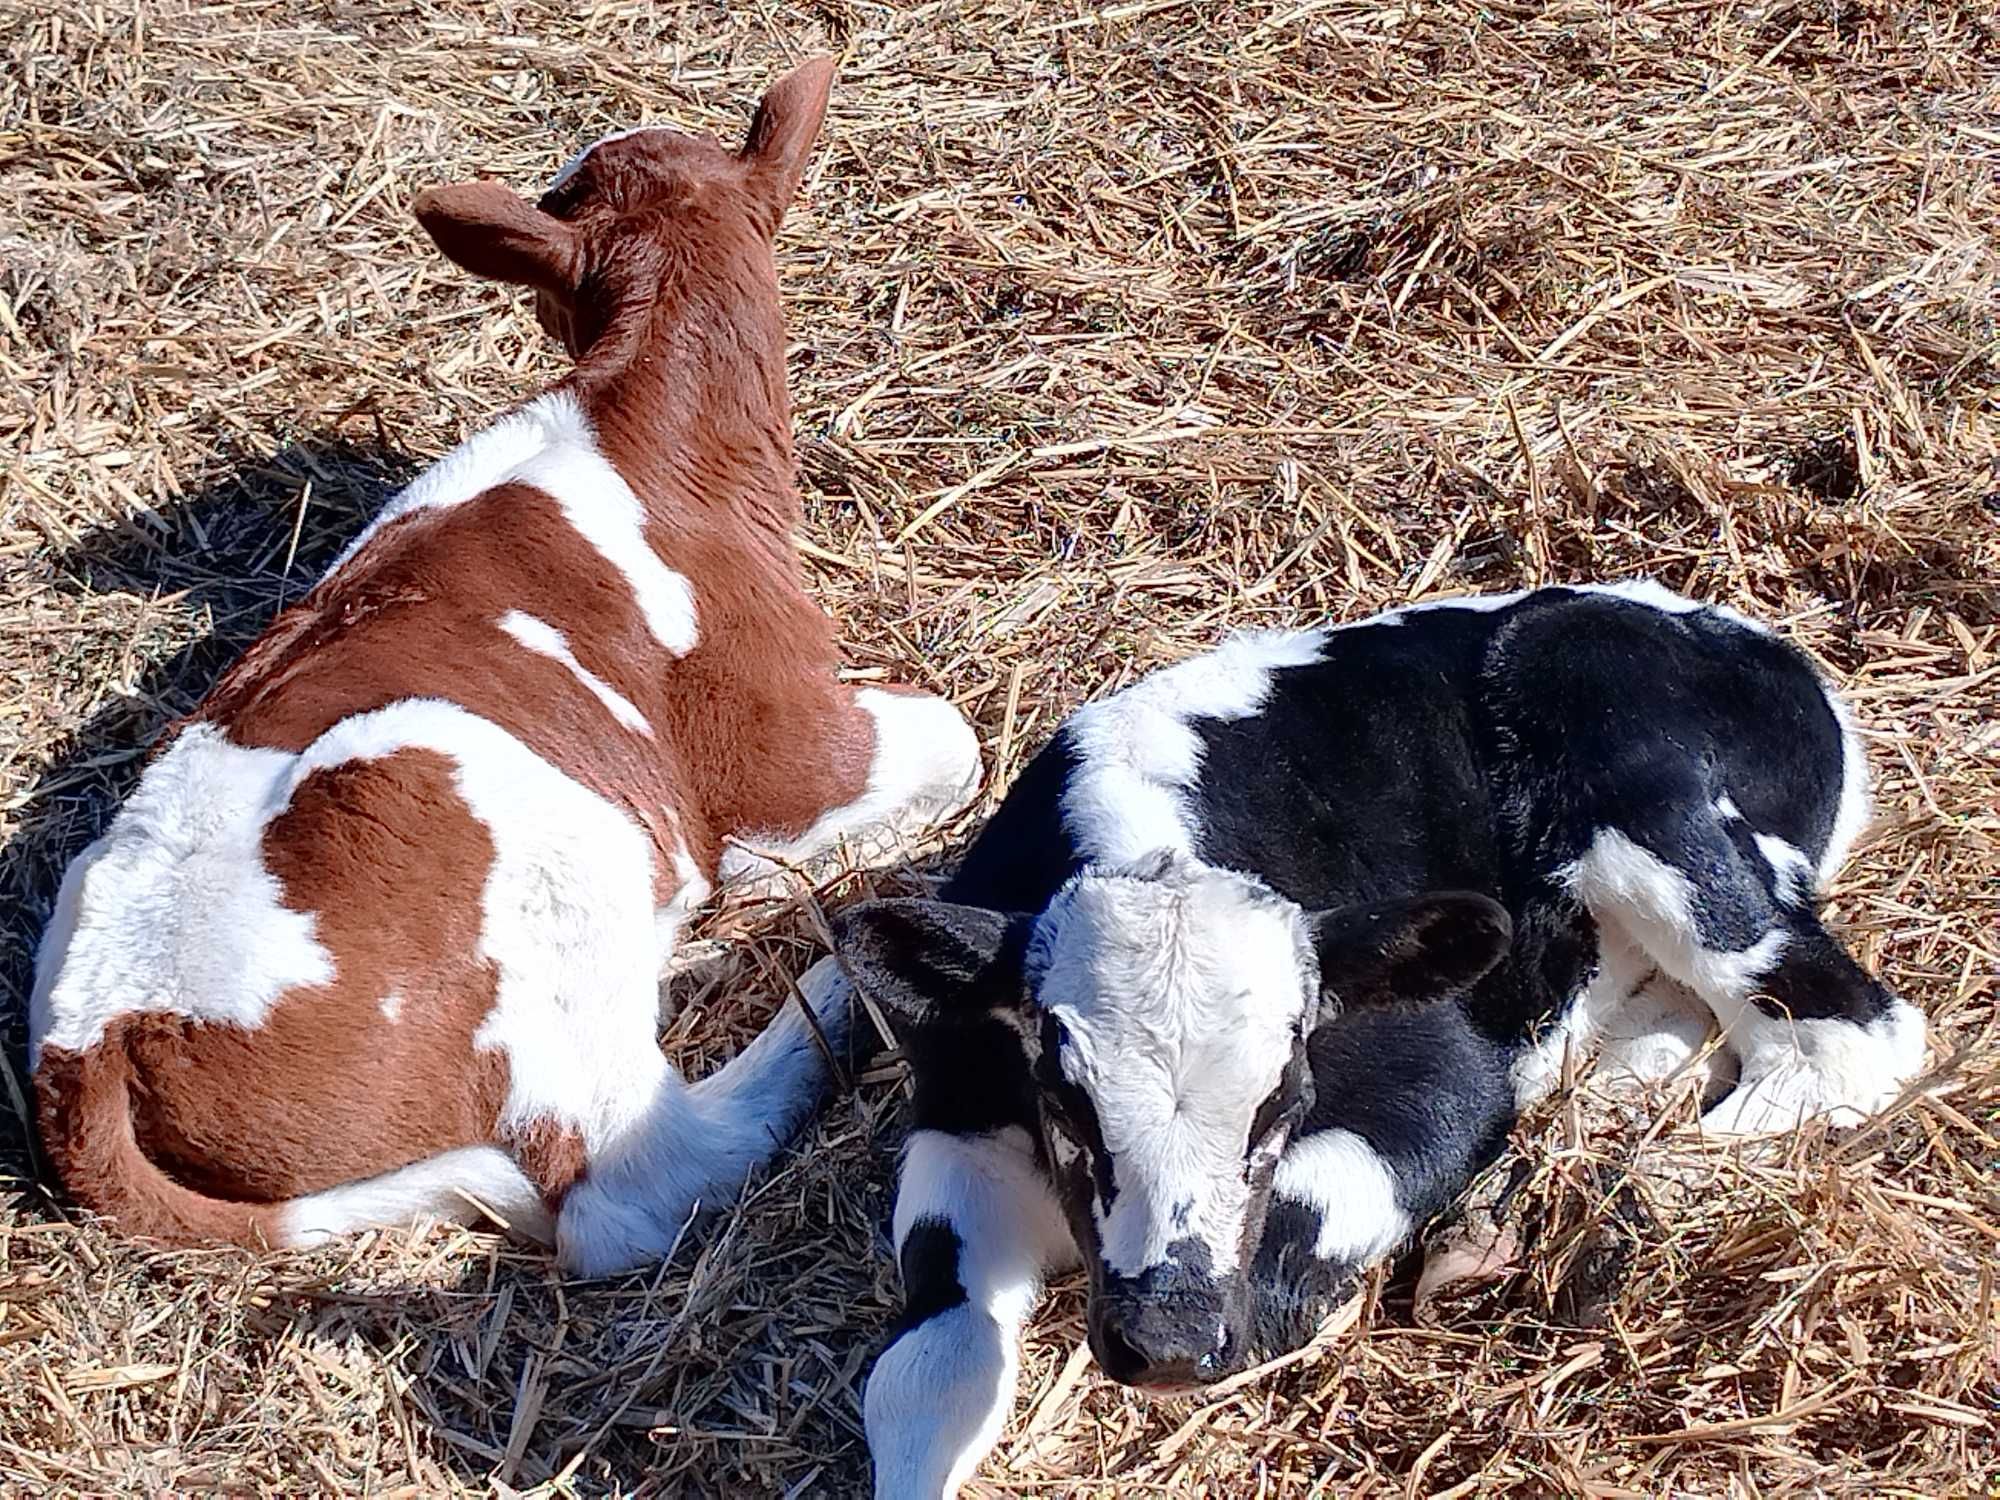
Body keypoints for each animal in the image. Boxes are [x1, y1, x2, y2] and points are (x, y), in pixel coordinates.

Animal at [31, 61, 984, 1280]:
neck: (652, 433)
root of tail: (98, 1045)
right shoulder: (779, 746)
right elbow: (949, 740)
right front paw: (775, 881)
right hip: (528, 838)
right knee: (634, 1178)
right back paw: (837, 993)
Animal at [828, 580, 1920, 1496]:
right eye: (1064, 1099)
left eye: (1283, 1096)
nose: (1169, 1342)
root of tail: (1755, 642)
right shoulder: (962, 1110)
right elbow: (927, 1370)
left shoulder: (1438, 1075)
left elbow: (1288, 1259)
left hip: (1627, 773)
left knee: (1849, 1030)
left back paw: (1587, 1201)